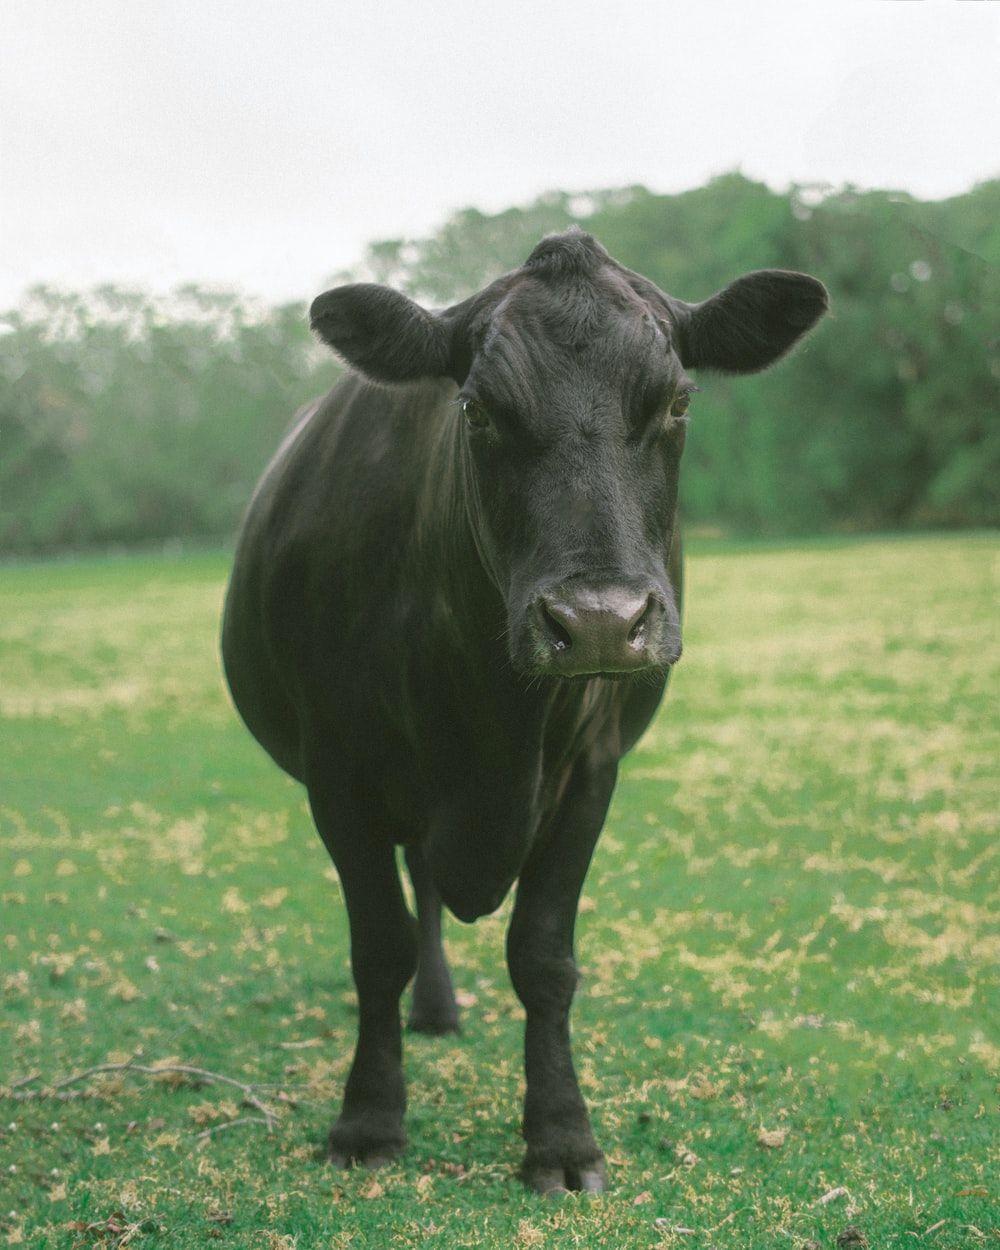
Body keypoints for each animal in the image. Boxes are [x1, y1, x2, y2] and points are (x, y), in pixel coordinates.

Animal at [221, 228, 827, 1193]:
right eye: (476, 411)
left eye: (678, 402)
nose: (600, 621)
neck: (488, 714)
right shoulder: (338, 773)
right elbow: (378, 945)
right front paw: (369, 1119)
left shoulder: (588, 771)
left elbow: (543, 956)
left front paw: (561, 1138)